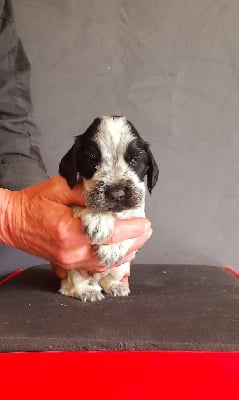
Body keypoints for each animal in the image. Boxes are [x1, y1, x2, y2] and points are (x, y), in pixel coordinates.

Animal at [58, 115, 159, 304]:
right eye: (92, 159)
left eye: (134, 159)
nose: (117, 193)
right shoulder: (73, 203)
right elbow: (84, 206)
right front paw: (99, 219)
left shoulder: (139, 218)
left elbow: (128, 223)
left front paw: (111, 247)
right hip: (71, 269)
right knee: (73, 284)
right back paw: (86, 291)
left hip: (121, 267)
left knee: (108, 279)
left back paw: (115, 286)